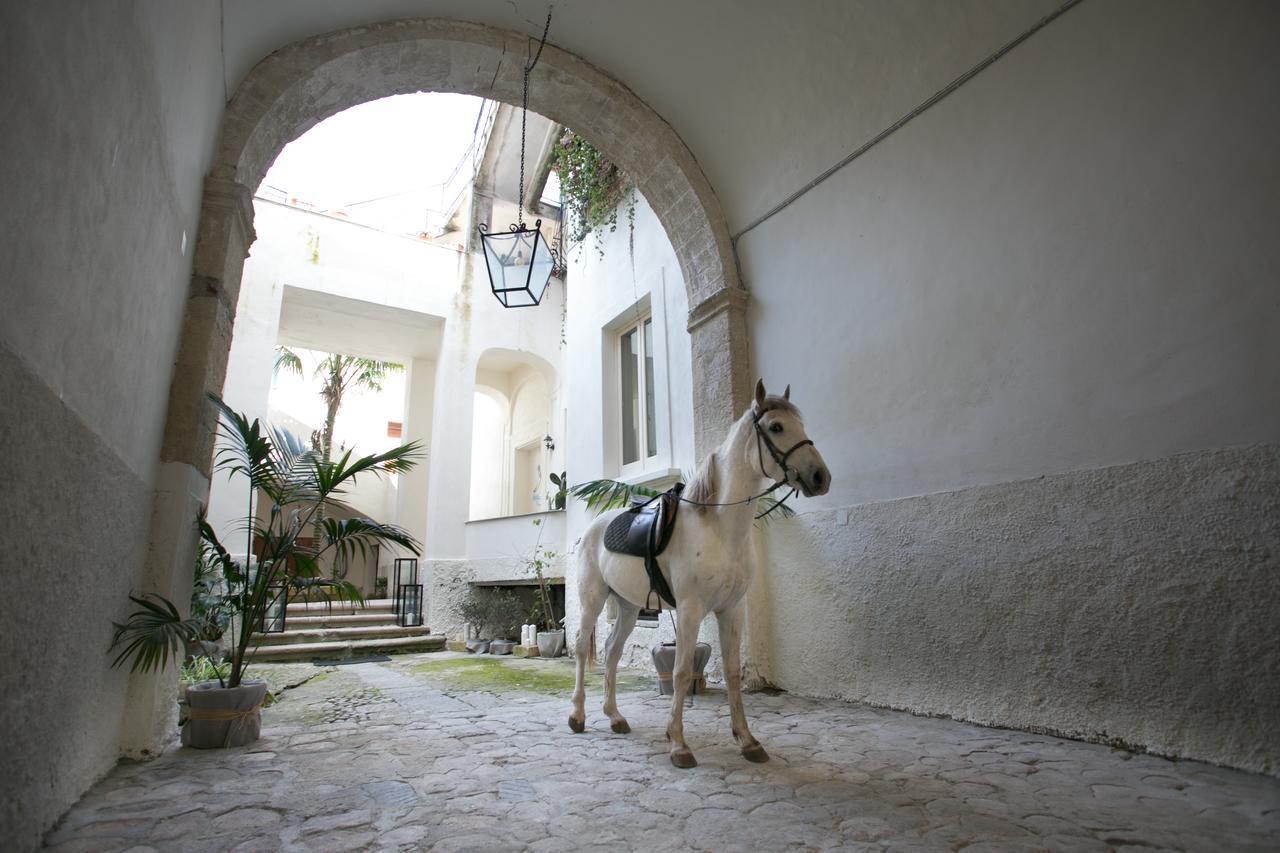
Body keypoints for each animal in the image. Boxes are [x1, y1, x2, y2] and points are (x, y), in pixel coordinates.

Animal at [568, 379, 829, 763]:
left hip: (629, 607)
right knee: (581, 648)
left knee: (613, 651)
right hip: (593, 601)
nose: (820, 477)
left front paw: (747, 740)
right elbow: (679, 672)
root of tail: (593, 529)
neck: (720, 528)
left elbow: (733, 672)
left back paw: (614, 716)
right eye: (776, 427)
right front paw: (678, 743)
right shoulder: (690, 609)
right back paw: (578, 716)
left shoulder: (732, 609)